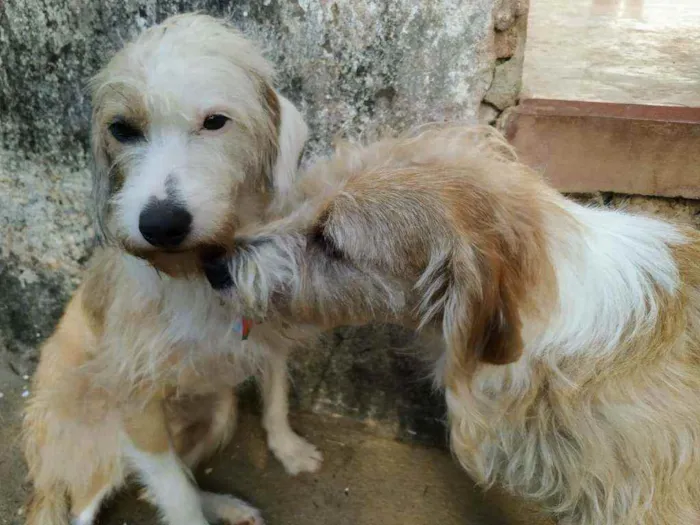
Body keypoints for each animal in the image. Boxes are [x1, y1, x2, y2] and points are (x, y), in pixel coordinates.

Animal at [21, 13, 322, 524]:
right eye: (122, 129)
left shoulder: (268, 332)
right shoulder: (136, 405)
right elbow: (175, 494)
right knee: (94, 504)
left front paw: (289, 448)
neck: (201, 271)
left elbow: (276, 396)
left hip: (217, 408)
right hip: (98, 448)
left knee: (160, 485)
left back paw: (225, 504)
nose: (161, 225)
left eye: (215, 121)